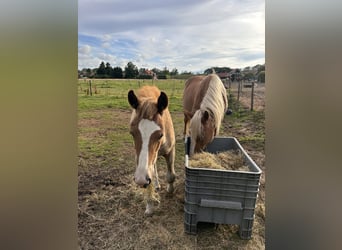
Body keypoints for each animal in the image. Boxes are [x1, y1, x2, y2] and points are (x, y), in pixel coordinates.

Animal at [128, 86, 176, 215]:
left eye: (160, 135)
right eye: (132, 133)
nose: (140, 180)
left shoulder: (170, 151)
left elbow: (171, 175)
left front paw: (170, 190)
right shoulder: (140, 161)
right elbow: (149, 179)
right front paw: (149, 206)